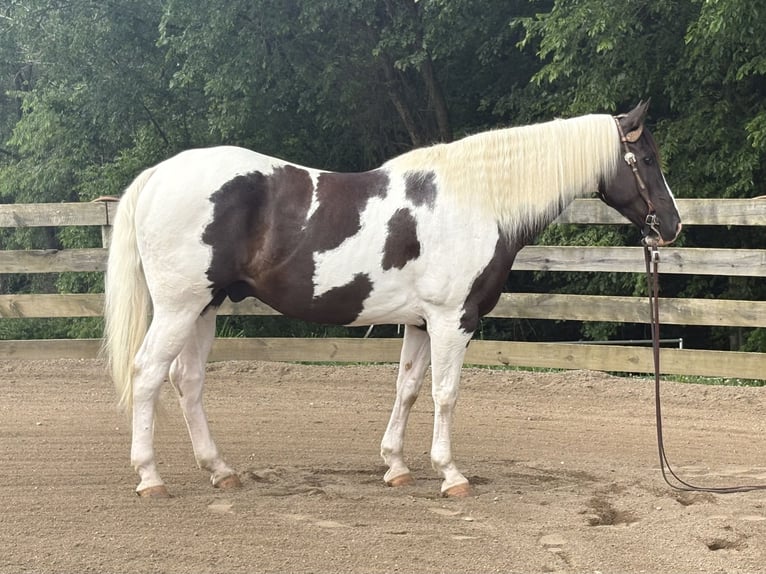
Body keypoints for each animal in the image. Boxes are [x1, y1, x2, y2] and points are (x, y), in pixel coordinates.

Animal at [104, 100, 682, 498]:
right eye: (647, 157)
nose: (672, 226)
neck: (478, 201)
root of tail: (157, 176)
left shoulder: (422, 323)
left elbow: (407, 389)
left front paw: (396, 466)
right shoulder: (454, 320)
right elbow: (445, 395)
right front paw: (451, 474)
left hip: (204, 307)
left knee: (188, 381)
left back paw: (220, 471)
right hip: (179, 307)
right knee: (148, 374)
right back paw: (150, 477)